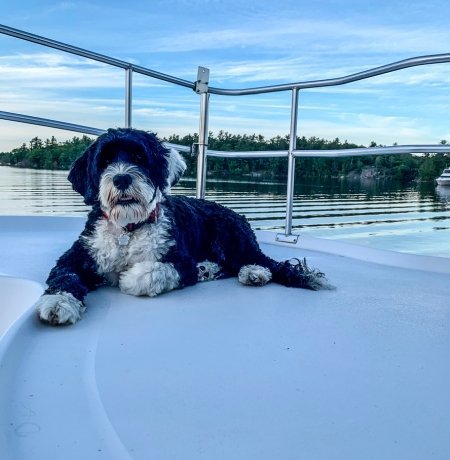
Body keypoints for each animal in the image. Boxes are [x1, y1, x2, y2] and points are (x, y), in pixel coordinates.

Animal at [34, 127, 330, 326]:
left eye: (139, 157)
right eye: (104, 161)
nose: (121, 179)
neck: (129, 229)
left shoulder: (178, 260)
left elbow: (150, 271)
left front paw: (128, 277)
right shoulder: (77, 255)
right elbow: (65, 276)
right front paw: (58, 302)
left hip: (228, 234)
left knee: (259, 261)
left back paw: (252, 272)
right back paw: (209, 269)